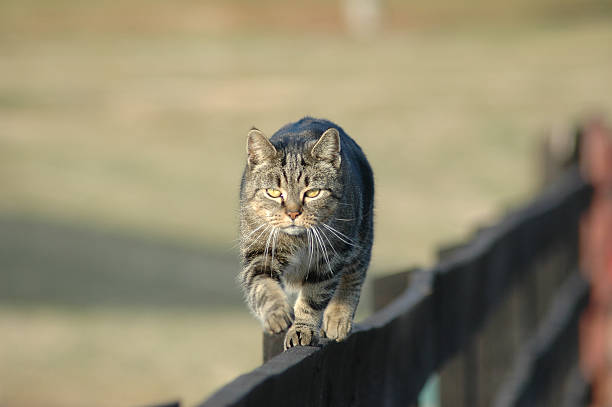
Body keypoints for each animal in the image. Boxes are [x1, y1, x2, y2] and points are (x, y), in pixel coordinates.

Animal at [238, 116, 372, 350]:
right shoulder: (259, 252)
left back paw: (338, 318)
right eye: (273, 192)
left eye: (312, 193)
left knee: (354, 275)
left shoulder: (330, 259)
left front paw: (302, 329)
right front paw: (277, 313)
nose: (293, 212)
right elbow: (263, 286)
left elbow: (313, 299)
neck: (297, 240)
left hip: (360, 240)